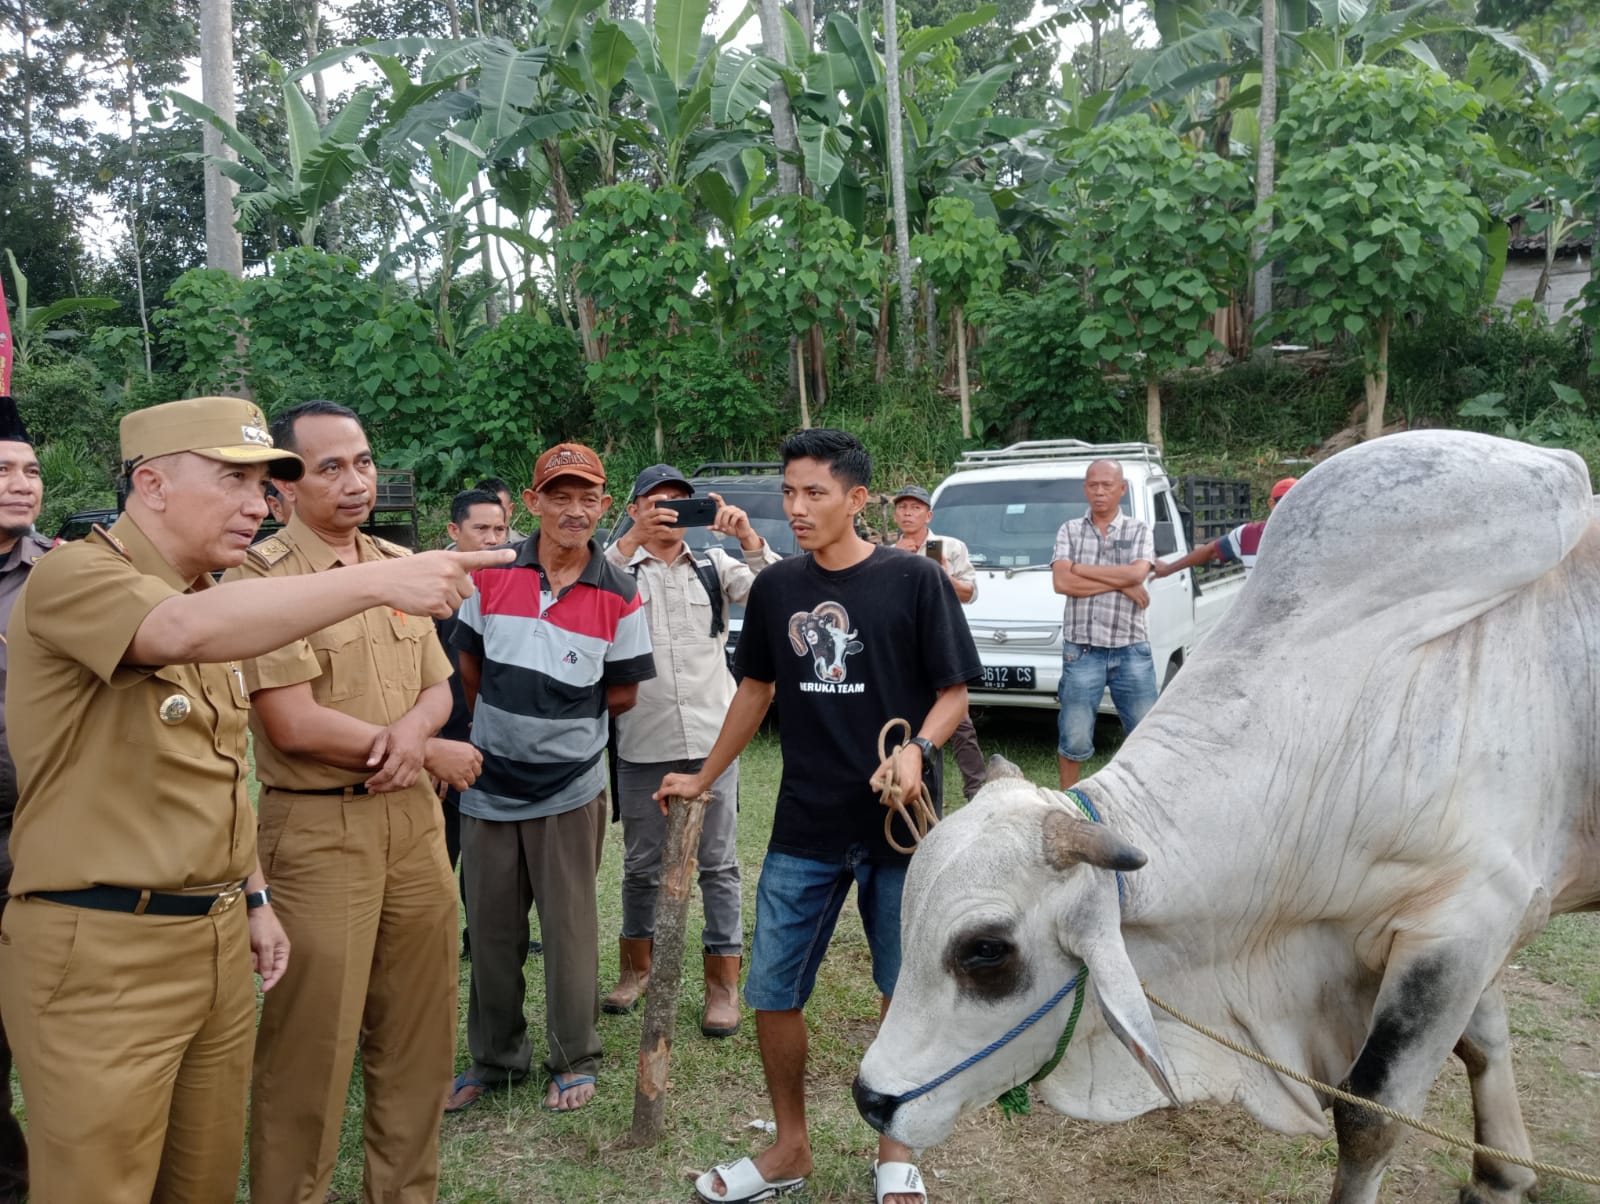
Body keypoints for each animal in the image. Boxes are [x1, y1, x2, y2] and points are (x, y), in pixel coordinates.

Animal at [857, 429, 1600, 1197]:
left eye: (985, 951)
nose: (872, 1099)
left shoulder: (1466, 924)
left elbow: (1371, 1114)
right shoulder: (1465, 930)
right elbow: (1485, 1043)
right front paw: (1502, 1175)